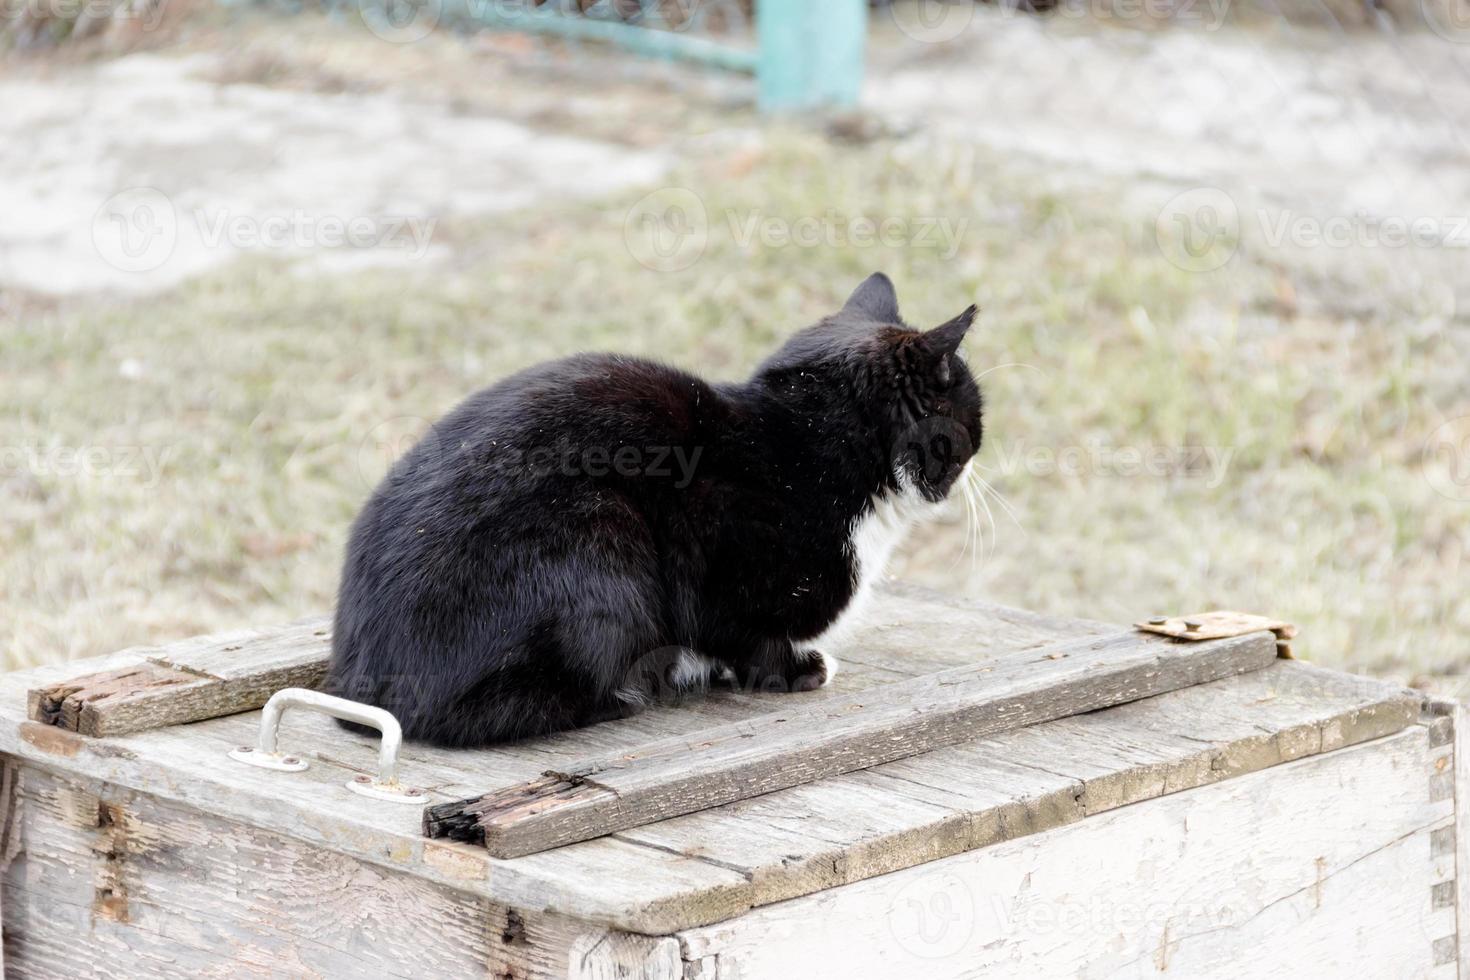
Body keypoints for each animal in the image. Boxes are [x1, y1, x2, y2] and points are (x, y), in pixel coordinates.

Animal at [327, 271, 981, 746]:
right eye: (974, 414)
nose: (977, 449)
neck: (806, 444)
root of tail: (360, 687)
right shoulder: (725, 563)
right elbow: (748, 637)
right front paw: (796, 670)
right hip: (602, 538)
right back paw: (626, 695)